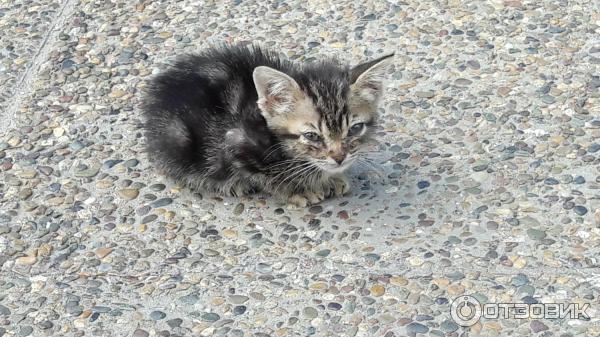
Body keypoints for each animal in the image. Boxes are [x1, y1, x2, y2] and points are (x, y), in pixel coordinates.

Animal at [141, 44, 394, 207]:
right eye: (312, 136)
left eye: (354, 128)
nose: (340, 158)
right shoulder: (236, 142)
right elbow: (266, 177)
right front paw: (299, 190)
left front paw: (332, 178)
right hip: (179, 139)